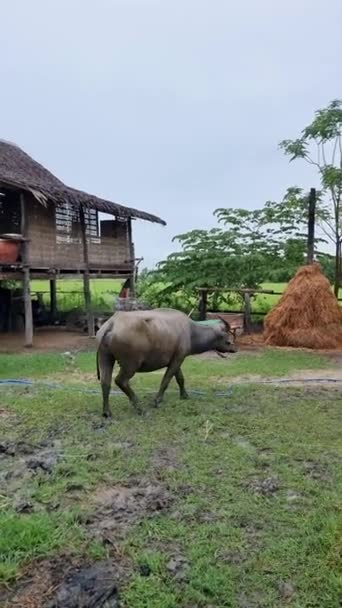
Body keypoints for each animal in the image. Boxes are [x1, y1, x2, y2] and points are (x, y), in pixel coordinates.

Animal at [95, 308, 236, 418]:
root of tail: (112, 324)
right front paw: (157, 400)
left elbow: (180, 378)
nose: (235, 349)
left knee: (105, 383)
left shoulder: (176, 359)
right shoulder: (178, 358)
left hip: (106, 358)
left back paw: (107, 412)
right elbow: (166, 380)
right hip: (131, 364)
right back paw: (140, 408)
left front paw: (184, 395)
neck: (191, 332)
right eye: (228, 341)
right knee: (121, 381)